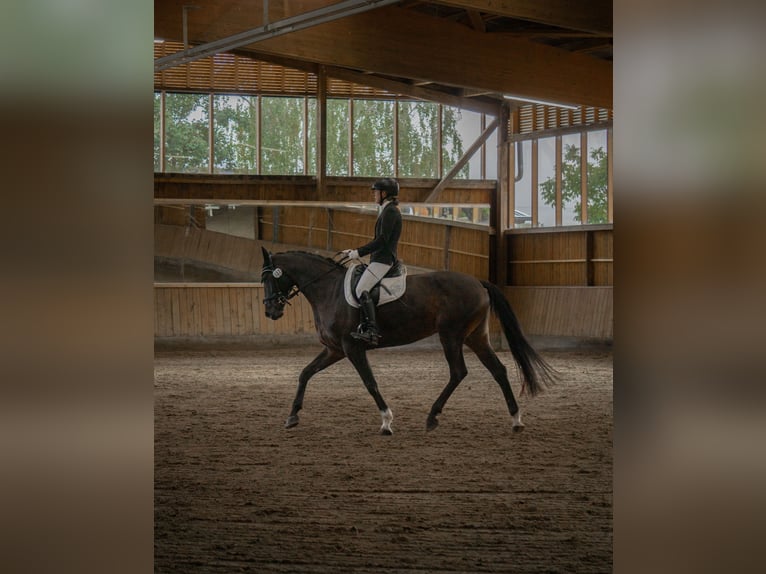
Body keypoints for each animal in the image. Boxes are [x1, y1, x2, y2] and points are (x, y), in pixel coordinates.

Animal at [260, 249, 556, 436]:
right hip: (475, 337)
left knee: (458, 372)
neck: (328, 290)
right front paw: (292, 416)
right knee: (498, 370)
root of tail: (479, 283)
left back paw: (432, 416)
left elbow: (370, 382)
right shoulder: (335, 349)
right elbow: (305, 373)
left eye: (268, 278)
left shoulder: (352, 348)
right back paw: (515, 419)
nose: (271, 312)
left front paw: (386, 422)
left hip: (451, 335)